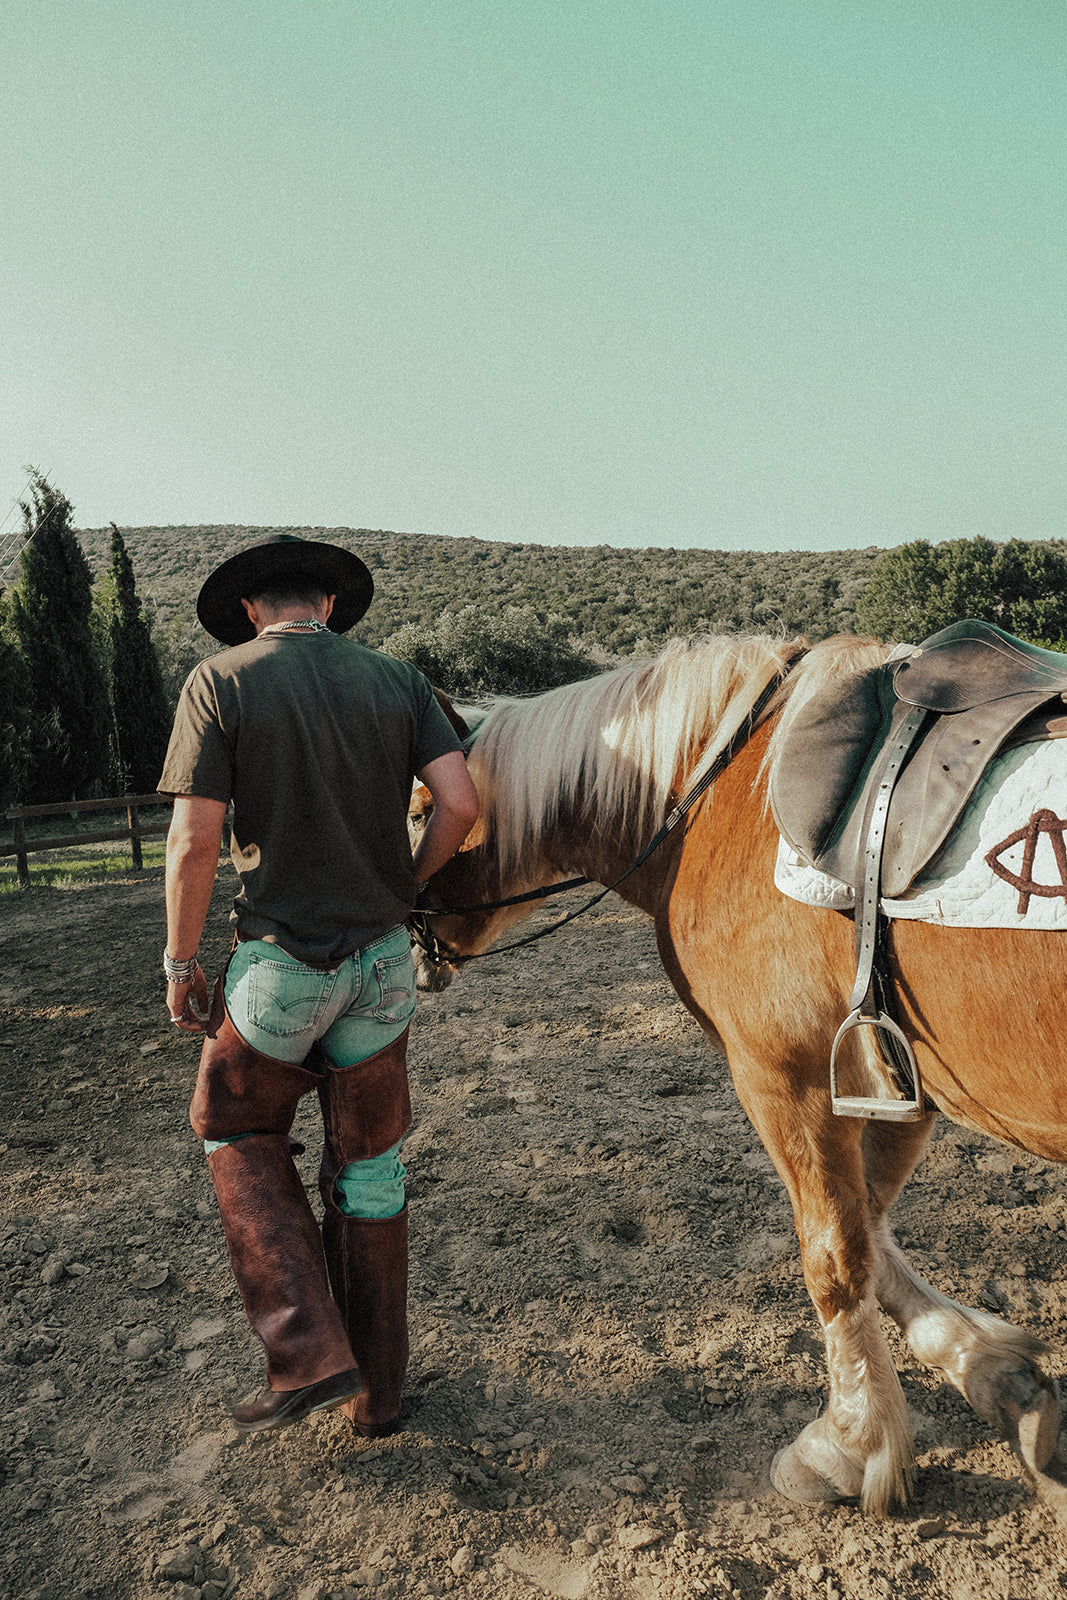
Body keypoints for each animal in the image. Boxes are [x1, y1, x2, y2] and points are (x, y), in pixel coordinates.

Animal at [410, 631, 1067, 1516]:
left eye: (419, 808)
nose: (410, 939)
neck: (709, 801)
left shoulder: (784, 1077)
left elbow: (835, 1256)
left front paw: (845, 1445)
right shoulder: (895, 1080)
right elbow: (871, 1230)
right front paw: (990, 1370)